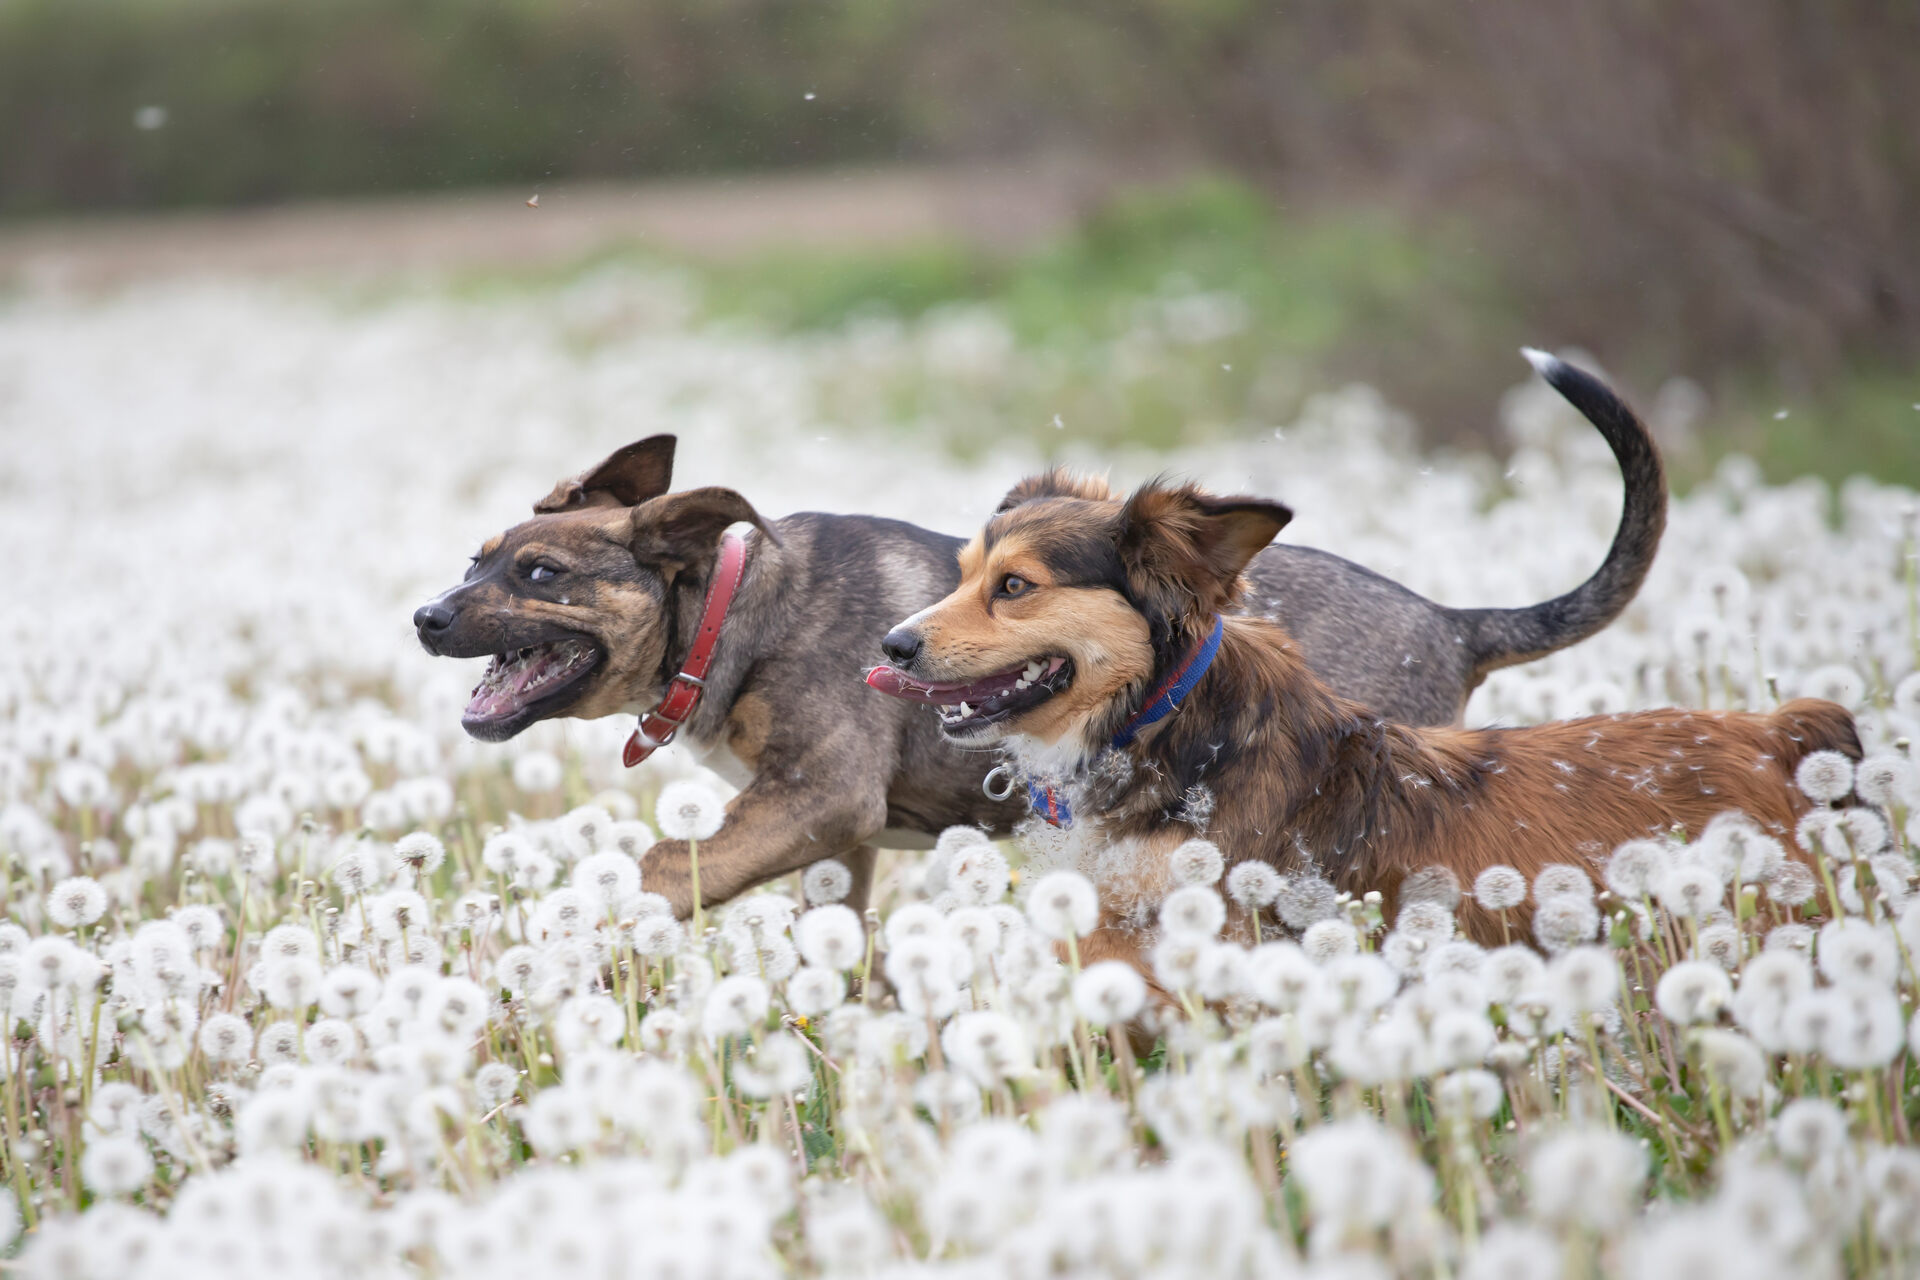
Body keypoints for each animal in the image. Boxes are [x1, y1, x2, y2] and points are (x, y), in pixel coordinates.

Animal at [416, 351, 1666, 917]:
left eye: (538, 573)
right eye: (476, 557)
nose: (425, 616)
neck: (729, 603)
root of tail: (1456, 624)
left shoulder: (819, 797)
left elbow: (659, 865)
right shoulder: (832, 838)